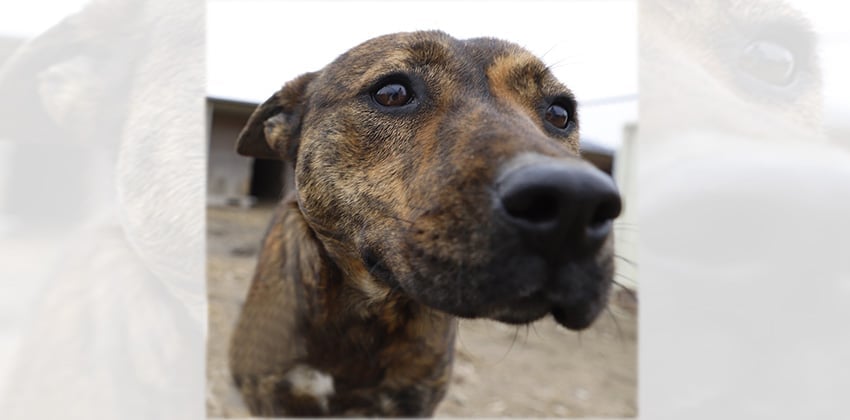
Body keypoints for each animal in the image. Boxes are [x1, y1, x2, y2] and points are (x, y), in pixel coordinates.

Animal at [229, 30, 620, 416]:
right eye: (392, 93)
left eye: (560, 112)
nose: (577, 201)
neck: (367, 317)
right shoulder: (268, 395)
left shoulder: (413, 400)